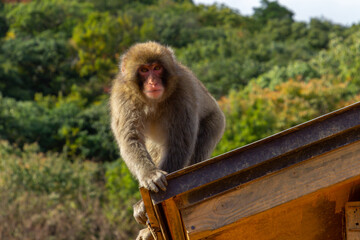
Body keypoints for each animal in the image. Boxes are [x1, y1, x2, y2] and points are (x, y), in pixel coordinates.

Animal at [109, 41, 225, 240]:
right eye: (144, 70)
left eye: (157, 68)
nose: (152, 81)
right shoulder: (122, 96)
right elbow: (131, 138)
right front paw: (150, 175)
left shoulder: (183, 89)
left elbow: (179, 143)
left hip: (216, 122)